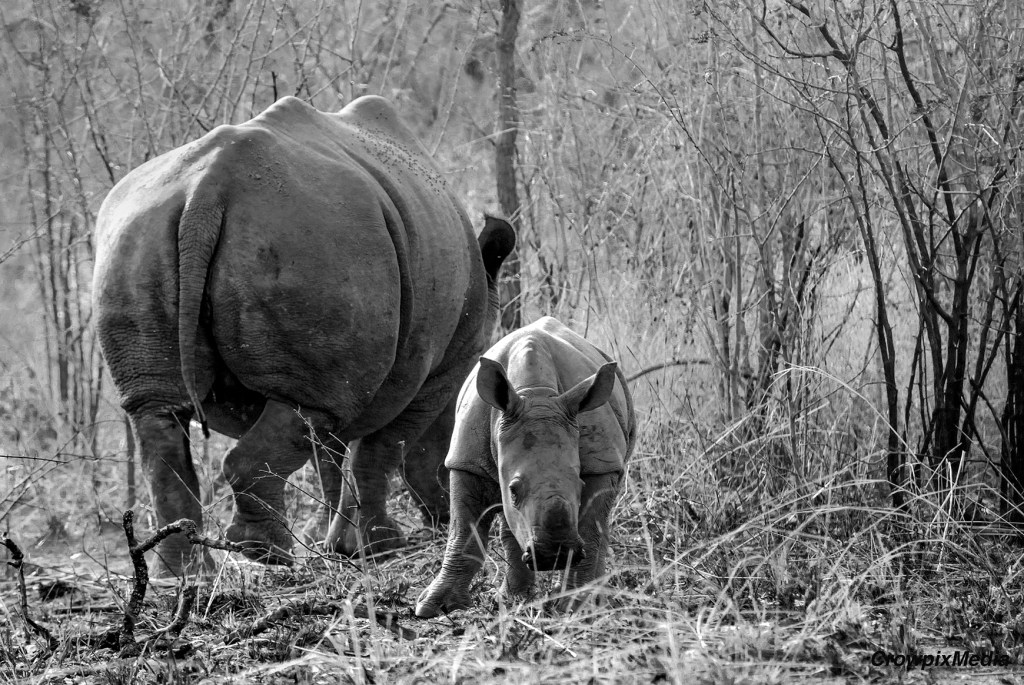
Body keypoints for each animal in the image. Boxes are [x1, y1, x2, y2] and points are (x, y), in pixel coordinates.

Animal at [92, 95, 515, 575]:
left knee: (158, 411)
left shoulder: (353, 380)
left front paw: (340, 547)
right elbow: (384, 452)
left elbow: (333, 456)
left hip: (141, 238)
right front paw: (376, 548)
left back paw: (185, 574)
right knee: (299, 410)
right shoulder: (430, 376)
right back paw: (267, 555)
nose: (456, 517)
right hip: (315, 242)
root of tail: (206, 191)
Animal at [415, 316, 636, 617]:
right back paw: (513, 599)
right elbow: (463, 533)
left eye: (579, 486)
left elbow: (591, 532)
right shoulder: (467, 462)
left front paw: (579, 607)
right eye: (513, 490)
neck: (535, 394)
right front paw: (432, 608)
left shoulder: (601, 463)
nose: (554, 555)